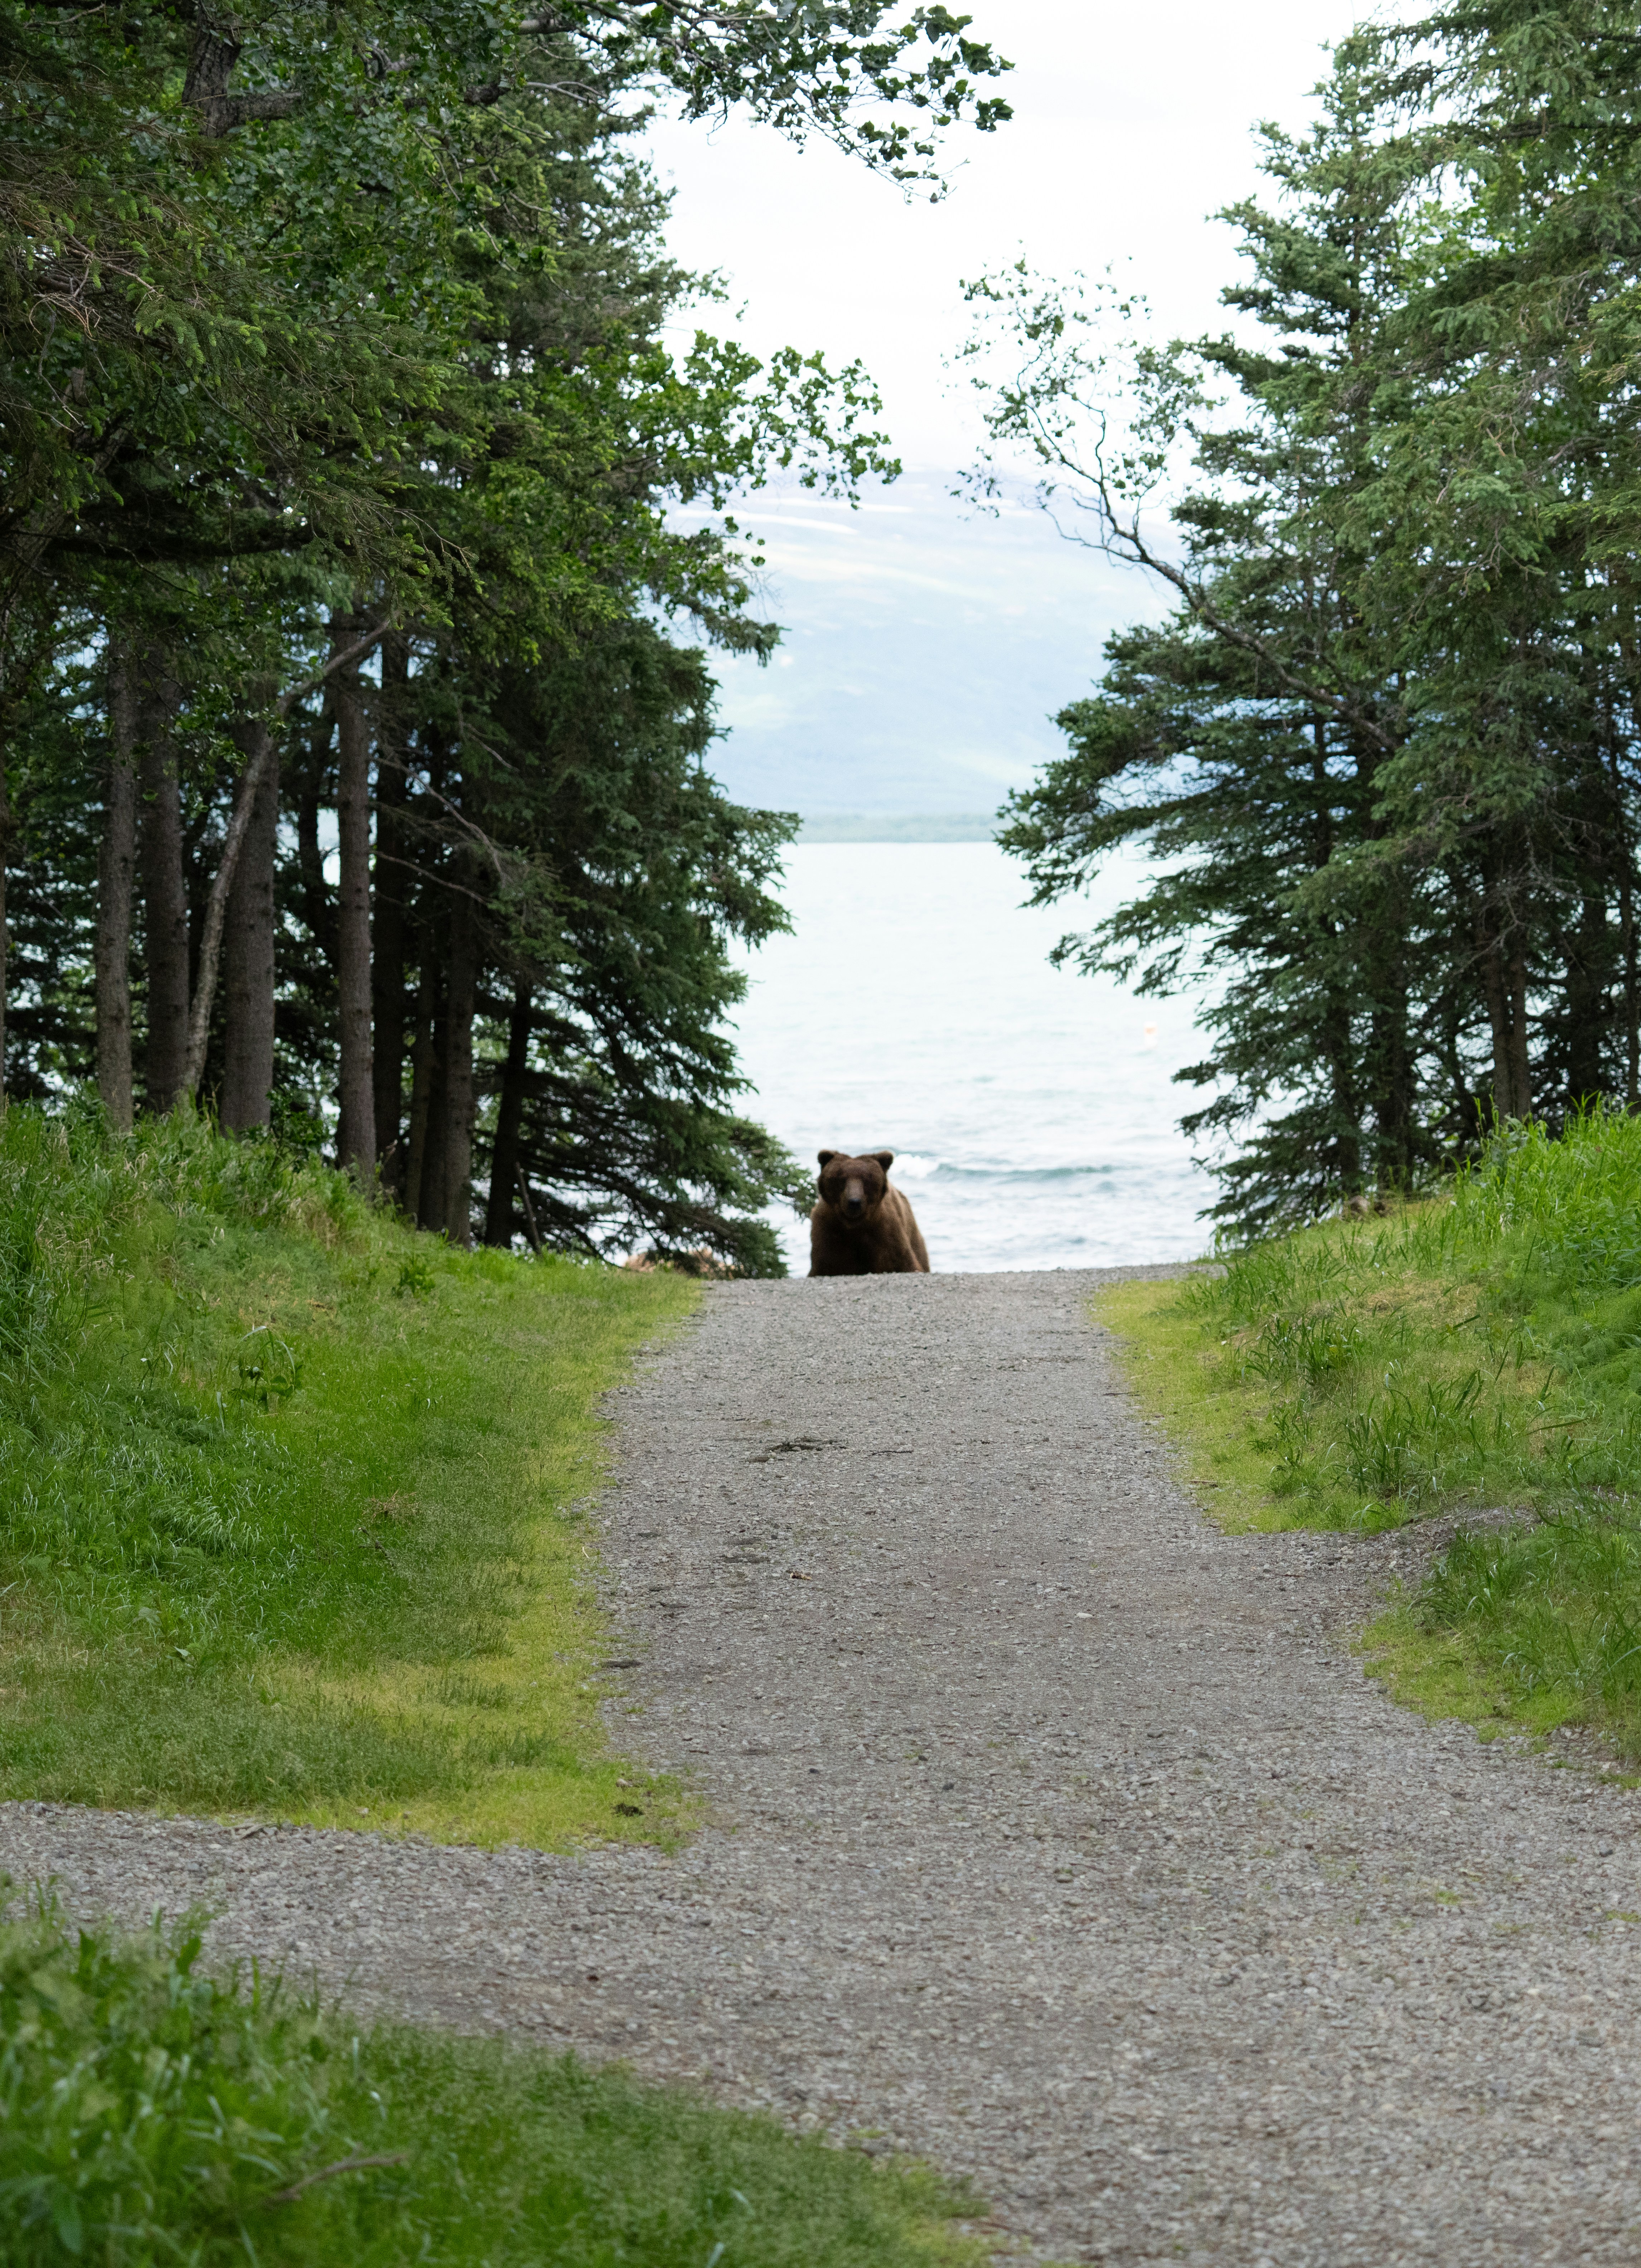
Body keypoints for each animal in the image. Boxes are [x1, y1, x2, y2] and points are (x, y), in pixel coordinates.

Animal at [808, 1149, 930, 1276]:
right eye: (841, 1179)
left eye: (867, 1179)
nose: (854, 1202)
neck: (854, 1226)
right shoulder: (828, 1232)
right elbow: (825, 1264)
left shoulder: (885, 1233)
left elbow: (902, 1263)